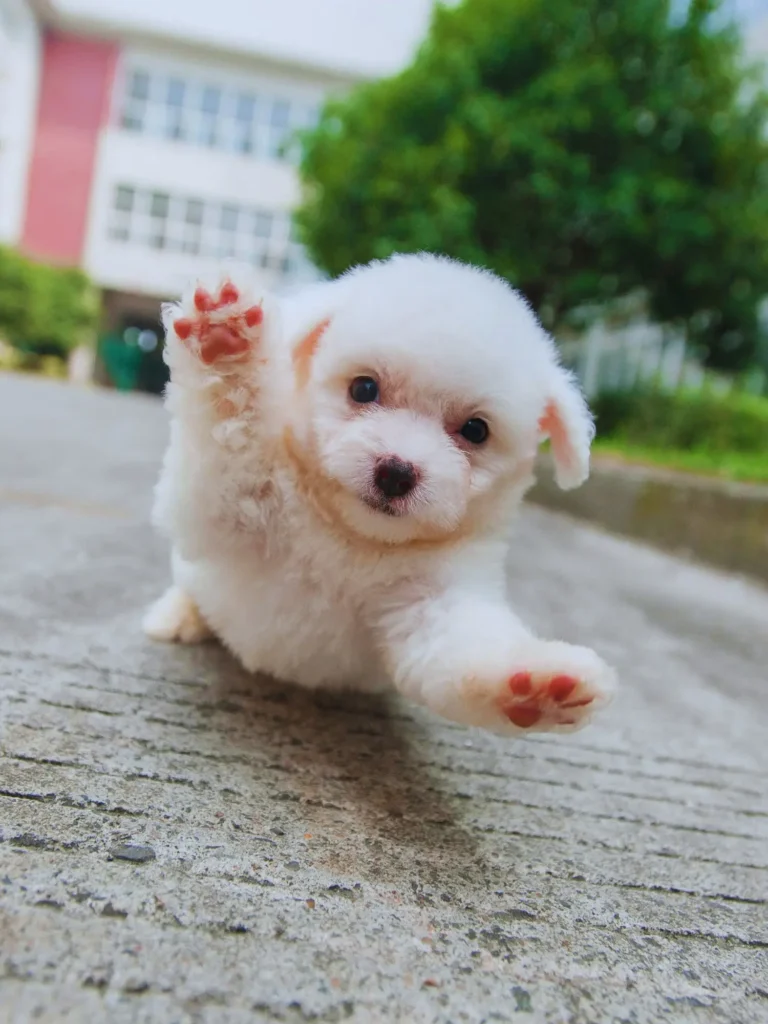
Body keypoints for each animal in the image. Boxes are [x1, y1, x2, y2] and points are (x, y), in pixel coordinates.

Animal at [144, 256, 618, 737]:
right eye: (364, 388)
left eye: (475, 430)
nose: (396, 472)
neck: (355, 539)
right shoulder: (231, 504)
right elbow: (231, 428)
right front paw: (225, 339)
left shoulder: (433, 603)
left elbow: (461, 647)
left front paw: (534, 686)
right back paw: (180, 615)